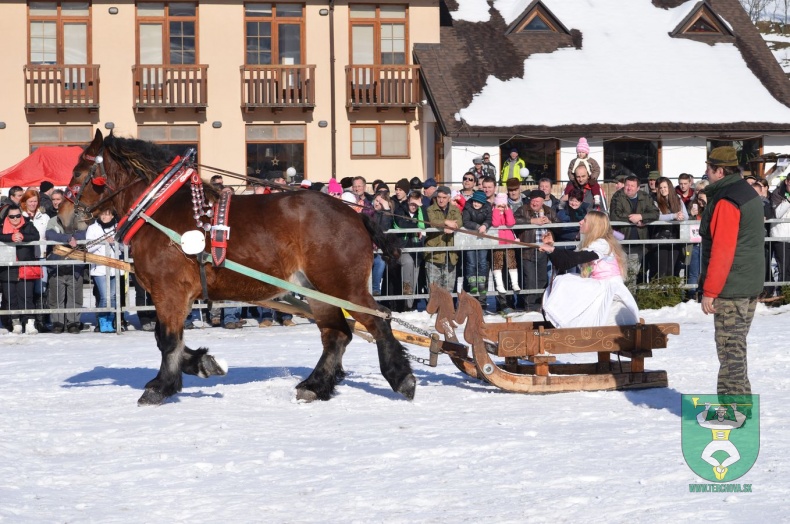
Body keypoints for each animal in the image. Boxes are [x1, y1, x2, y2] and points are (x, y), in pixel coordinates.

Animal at [61, 130, 418, 406]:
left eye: (78, 172)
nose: (63, 216)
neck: (158, 210)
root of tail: (355, 215)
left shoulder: (170, 291)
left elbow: (168, 340)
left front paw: (161, 387)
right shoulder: (174, 296)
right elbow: (167, 339)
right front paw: (205, 363)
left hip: (343, 286)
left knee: (378, 321)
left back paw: (401, 378)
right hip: (318, 291)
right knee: (337, 335)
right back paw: (314, 386)